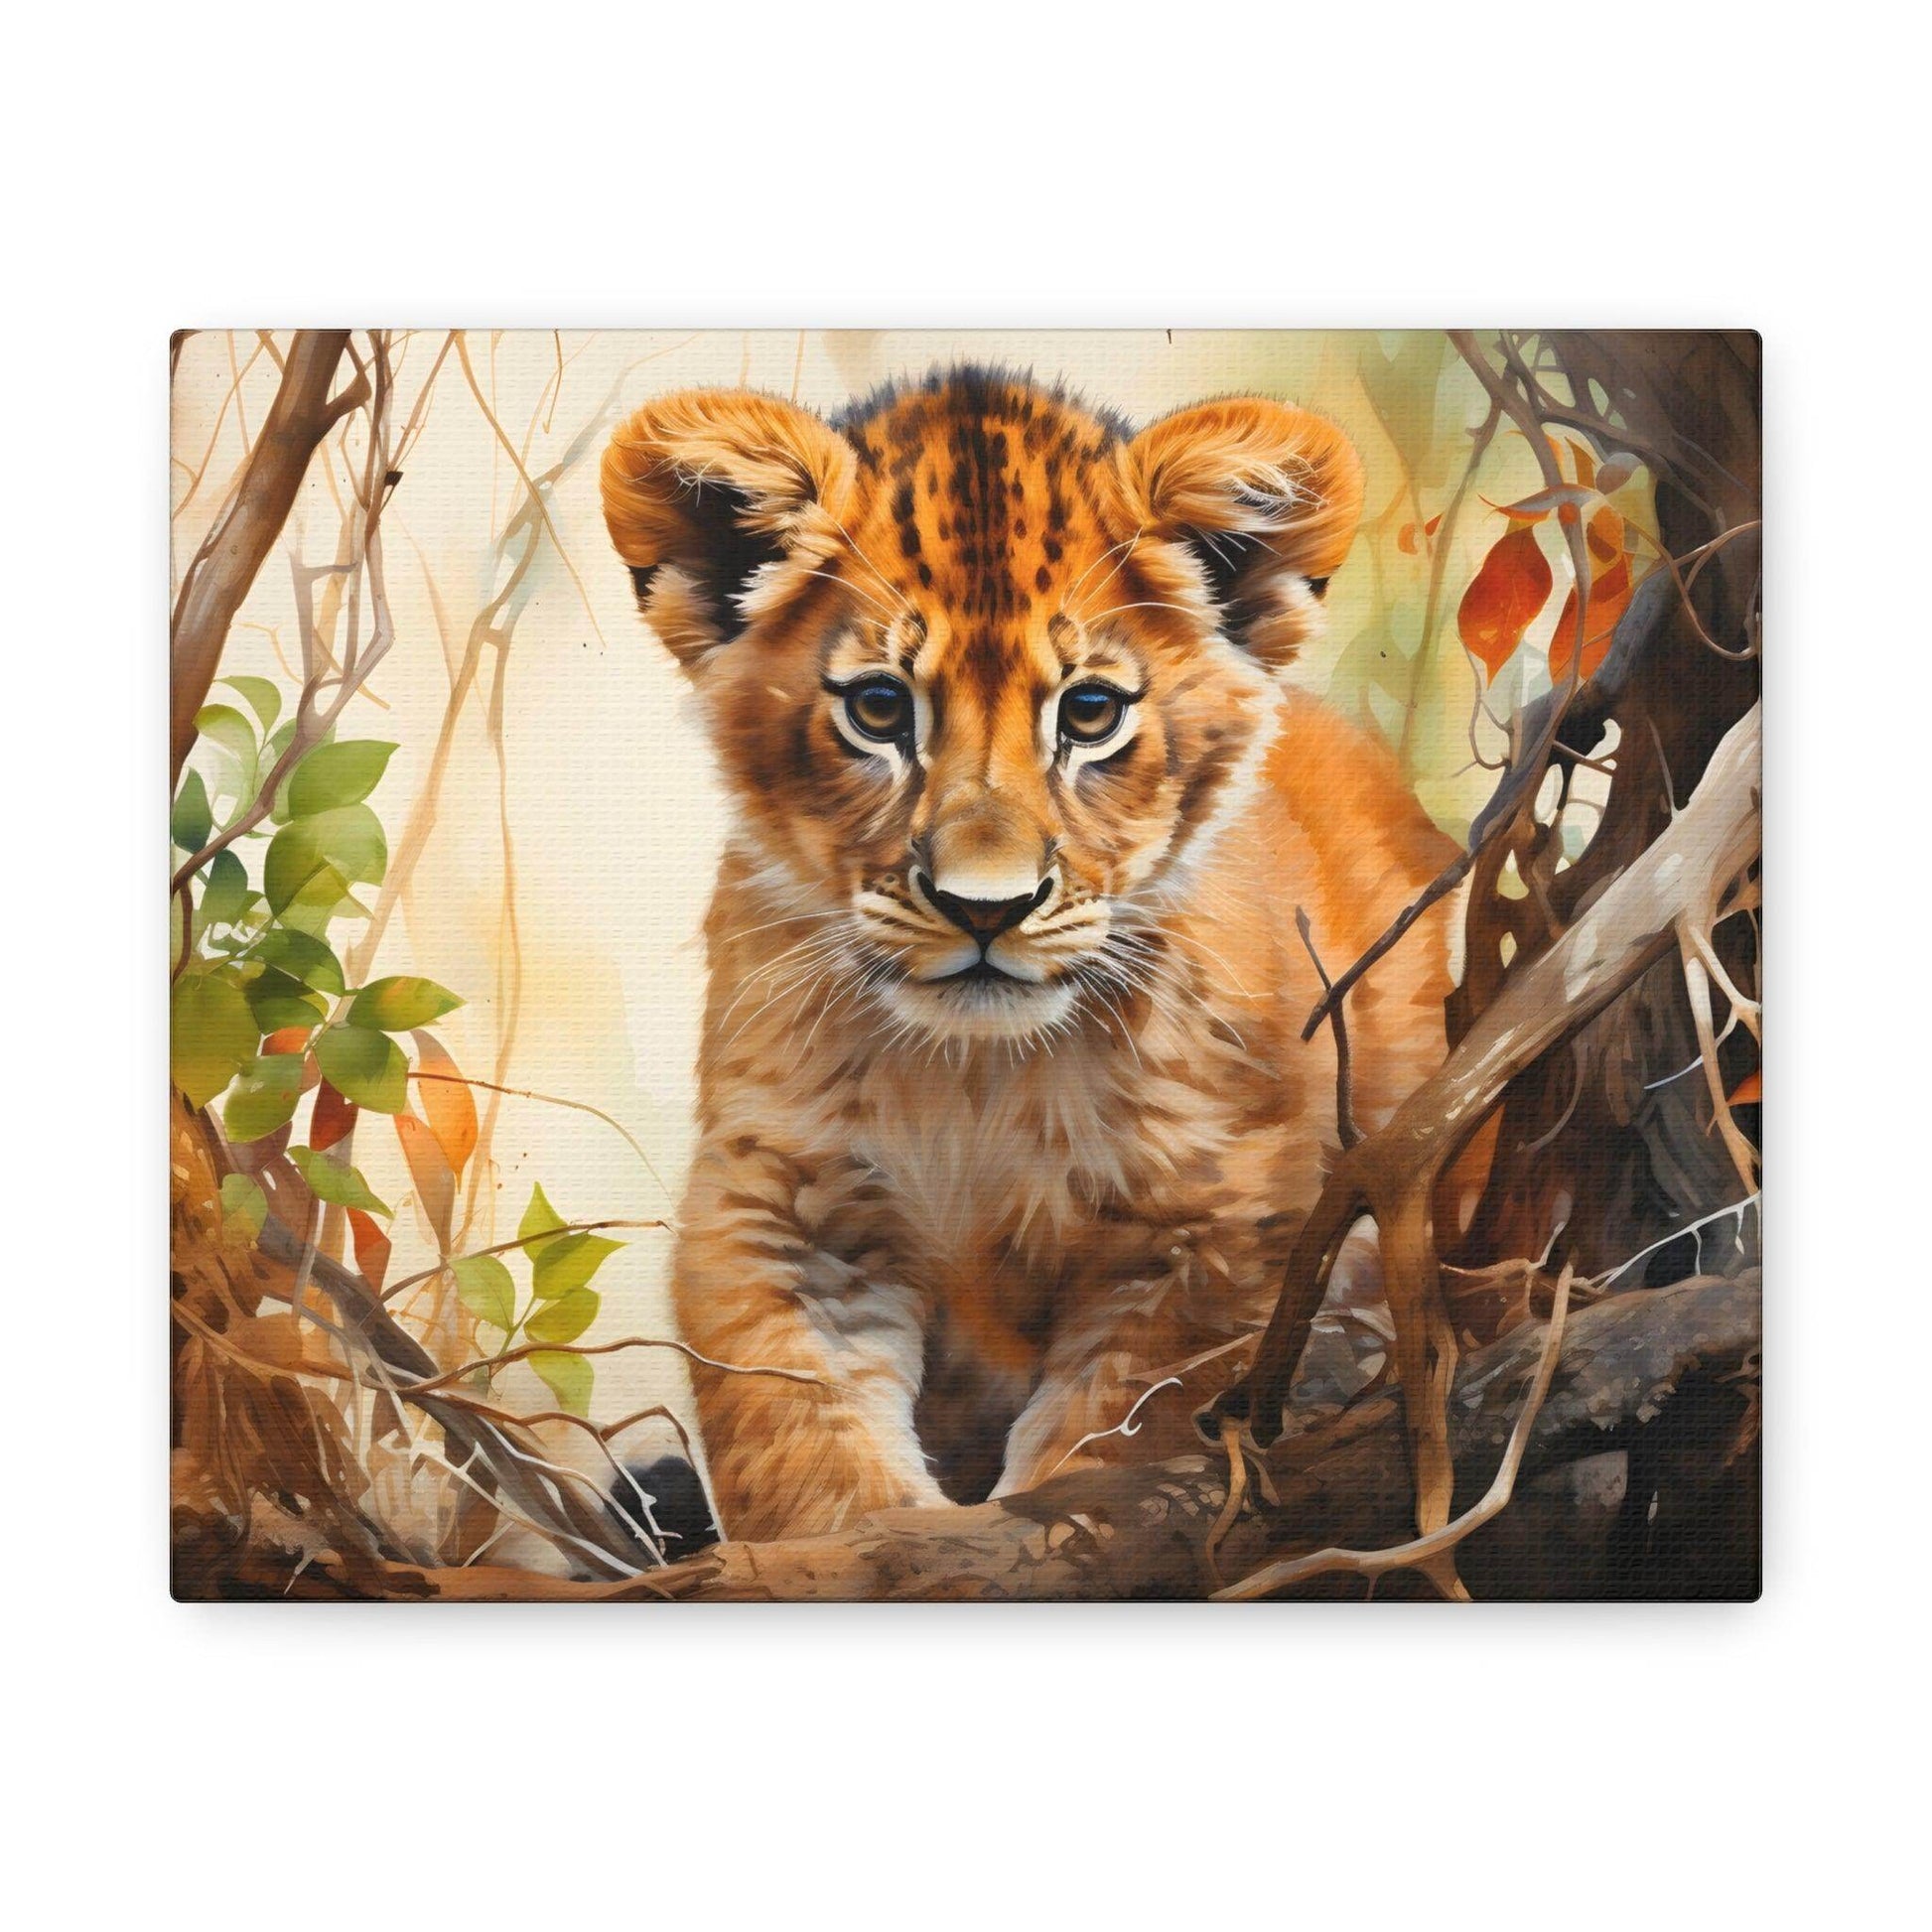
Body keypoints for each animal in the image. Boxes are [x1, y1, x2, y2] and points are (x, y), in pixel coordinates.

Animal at [600, 366, 1457, 1543]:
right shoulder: (780, 1206)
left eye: (1089, 713)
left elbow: (1117, 1442)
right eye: (879, 708)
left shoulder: (1214, 1226)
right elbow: (804, 1452)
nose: (984, 909)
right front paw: (879, 1543)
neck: (977, 1080)